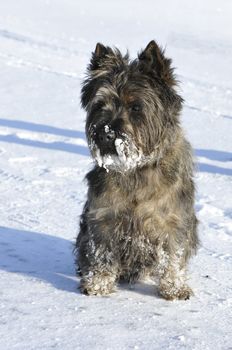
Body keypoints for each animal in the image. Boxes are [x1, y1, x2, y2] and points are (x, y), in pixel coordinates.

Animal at [74, 39, 198, 300]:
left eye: (136, 107)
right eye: (100, 105)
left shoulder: (173, 221)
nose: (105, 133)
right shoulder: (103, 217)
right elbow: (101, 253)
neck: (136, 169)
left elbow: (173, 255)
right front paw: (98, 284)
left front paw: (174, 288)